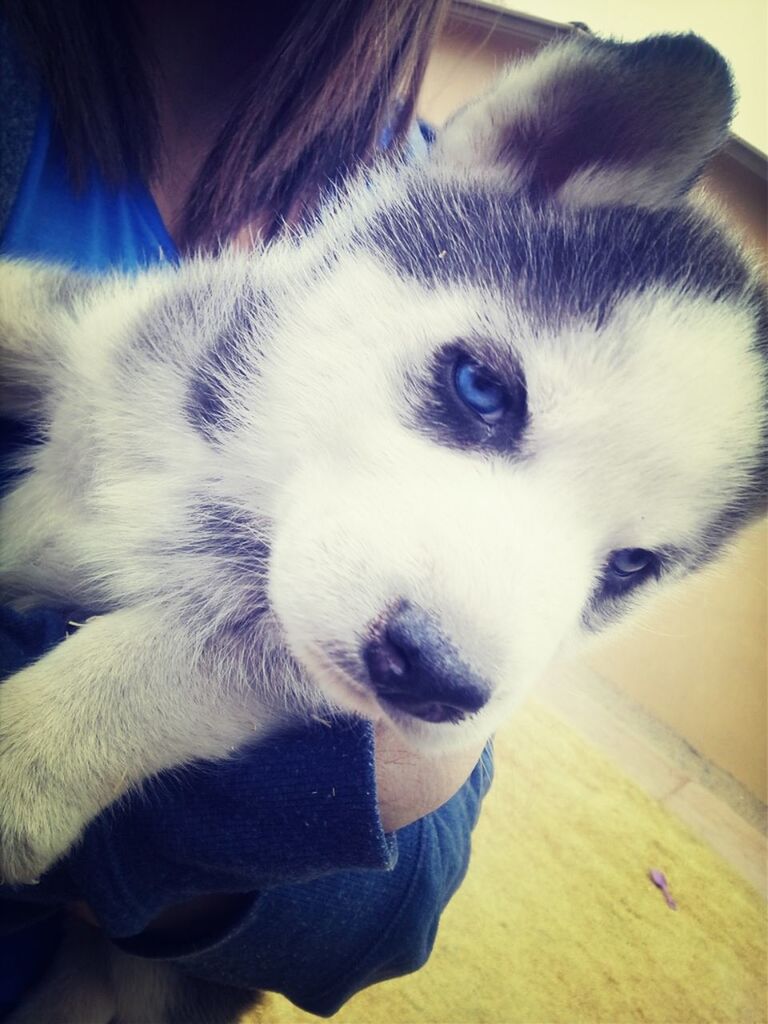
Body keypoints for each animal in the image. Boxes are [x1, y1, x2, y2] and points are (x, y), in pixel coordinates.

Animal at [1, 32, 768, 1024]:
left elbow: (157, 664)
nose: (438, 681)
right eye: (482, 388)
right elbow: (22, 303)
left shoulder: (283, 666)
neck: (214, 466)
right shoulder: (95, 333)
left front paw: (22, 756)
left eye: (631, 565)